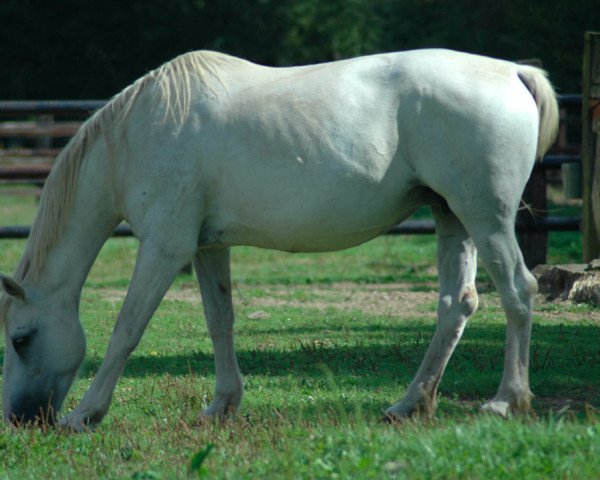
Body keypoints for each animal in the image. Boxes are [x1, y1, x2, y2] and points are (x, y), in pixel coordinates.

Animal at [2, 48, 560, 430]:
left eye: (21, 339)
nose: (21, 419)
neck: (136, 135)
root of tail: (512, 71)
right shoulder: (207, 248)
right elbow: (220, 321)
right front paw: (221, 406)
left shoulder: (165, 247)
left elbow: (126, 329)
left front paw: (85, 414)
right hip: (452, 218)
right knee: (455, 305)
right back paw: (409, 404)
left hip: (486, 220)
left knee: (518, 291)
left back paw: (506, 400)